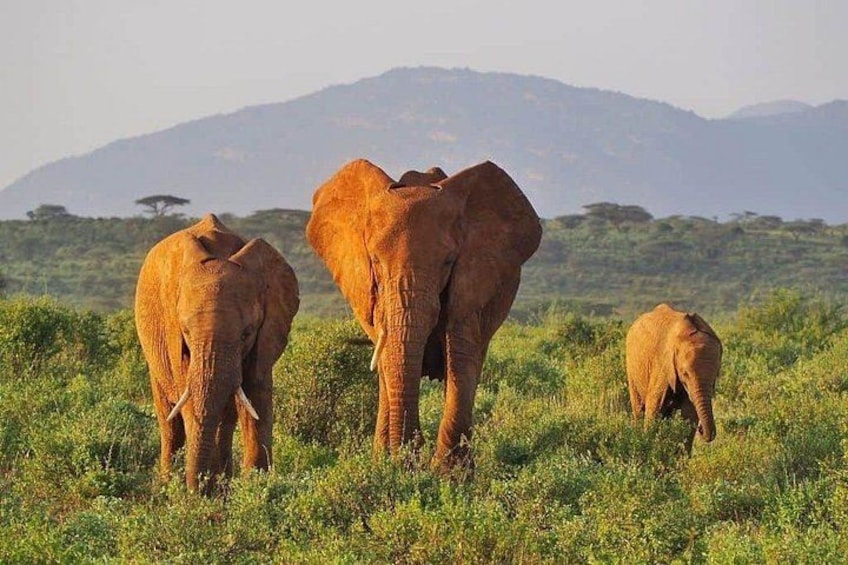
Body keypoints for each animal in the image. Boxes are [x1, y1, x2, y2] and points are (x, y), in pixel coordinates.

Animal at [135, 214, 299, 492]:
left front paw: (255, 491)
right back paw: (169, 486)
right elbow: (191, 402)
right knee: (170, 423)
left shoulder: (266, 336)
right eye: (186, 331)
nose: (197, 489)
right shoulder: (175, 338)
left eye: (247, 333)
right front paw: (206, 491)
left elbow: (257, 398)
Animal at [306, 159, 542, 471]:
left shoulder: (471, 280)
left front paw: (448, 475)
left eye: (448, 262)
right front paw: (396, 466)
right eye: (375, 261)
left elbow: (462, 359)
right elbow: (390, 361)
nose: (411, 455)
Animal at [625, 304, 722, 453]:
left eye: (715, 375)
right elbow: (653, 410)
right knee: (639, 409)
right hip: (631, 366)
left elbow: (689, 415)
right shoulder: (662, 364)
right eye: (685, 374)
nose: (702, 430)